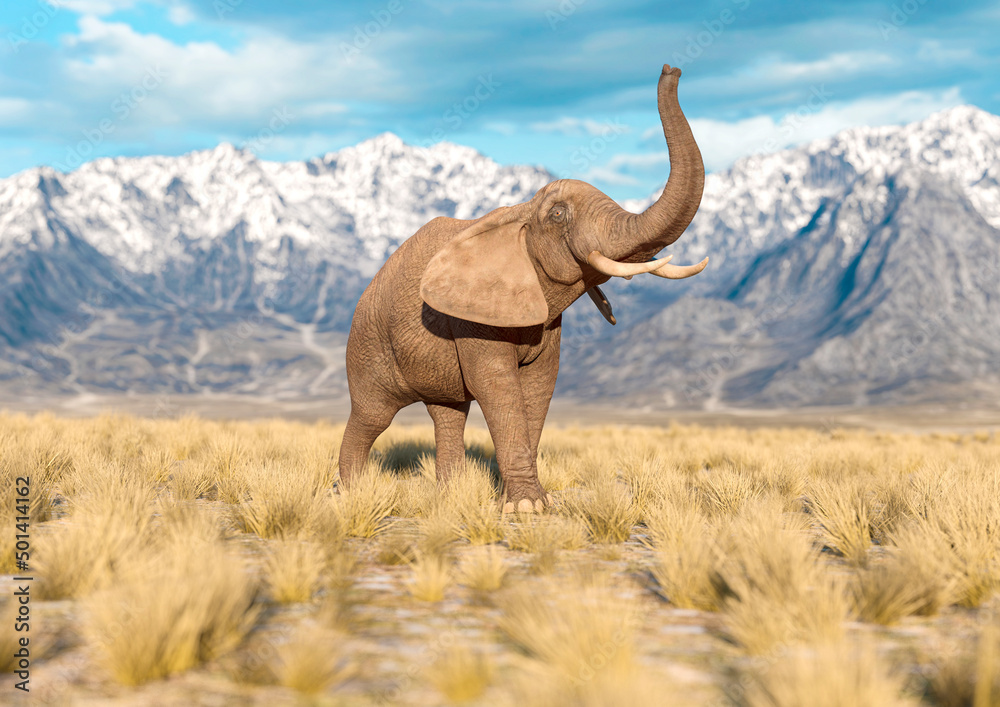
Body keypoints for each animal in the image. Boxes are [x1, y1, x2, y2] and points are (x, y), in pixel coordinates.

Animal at [337, 64, 708, 512]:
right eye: (558, 214)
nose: (672, 69)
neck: (520, 214)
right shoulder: (471, 313)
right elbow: (498, 385)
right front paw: (527, 509)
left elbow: (538, 385)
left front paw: (532, 504)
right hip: (368, 341)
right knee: (371, 416)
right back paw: (350, 495)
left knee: (448, 412)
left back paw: (450, 496)